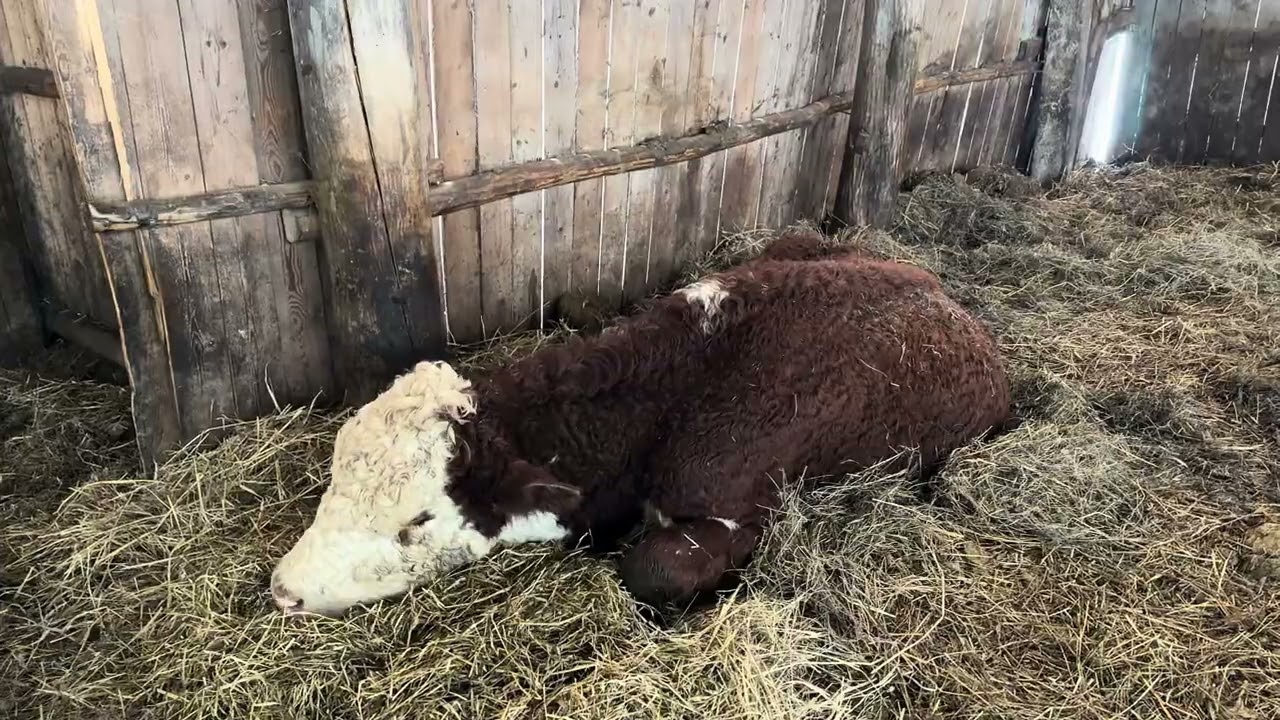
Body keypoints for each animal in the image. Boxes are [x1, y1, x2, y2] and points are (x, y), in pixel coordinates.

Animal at [269, 229, 1011, 617]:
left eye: (416, 522)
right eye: (332, 483)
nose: (284, 588)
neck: (664, 402)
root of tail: (937, 288)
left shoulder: (738, 511)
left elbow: (645, 570)